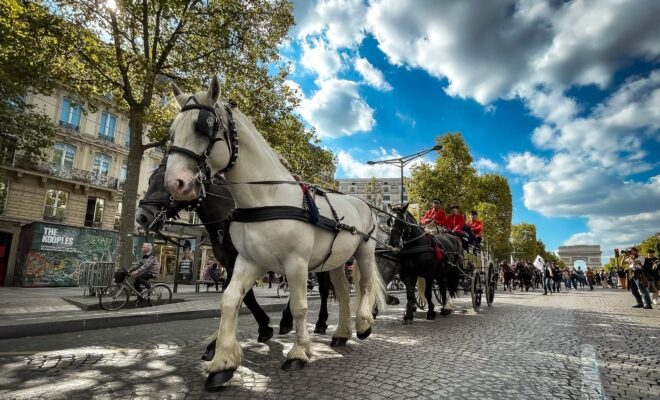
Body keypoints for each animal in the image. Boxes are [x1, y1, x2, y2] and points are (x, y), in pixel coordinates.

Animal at [137, 160, 338, 356]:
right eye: (150, 180)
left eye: (168, 183)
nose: (142, 217)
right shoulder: (231, 263)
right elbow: (237, 293)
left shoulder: (243, 261)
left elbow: (246, 295)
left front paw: (261, 328)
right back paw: (286, 321)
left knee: (322, 289)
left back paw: (320, 322)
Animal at [164, 76, 386, 390]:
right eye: (172, 131)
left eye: (204, 125)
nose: (176, 183)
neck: (266, 198)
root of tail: (361, 201)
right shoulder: (249, 261)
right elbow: (230, 299)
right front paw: (222, 361)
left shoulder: (296, 263)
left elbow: (299, 305)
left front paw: (299, 351)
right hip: (335, 261)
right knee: (343, 292)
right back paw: (341, 333)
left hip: (364, 250)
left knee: (365, 284)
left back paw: (364, 324)